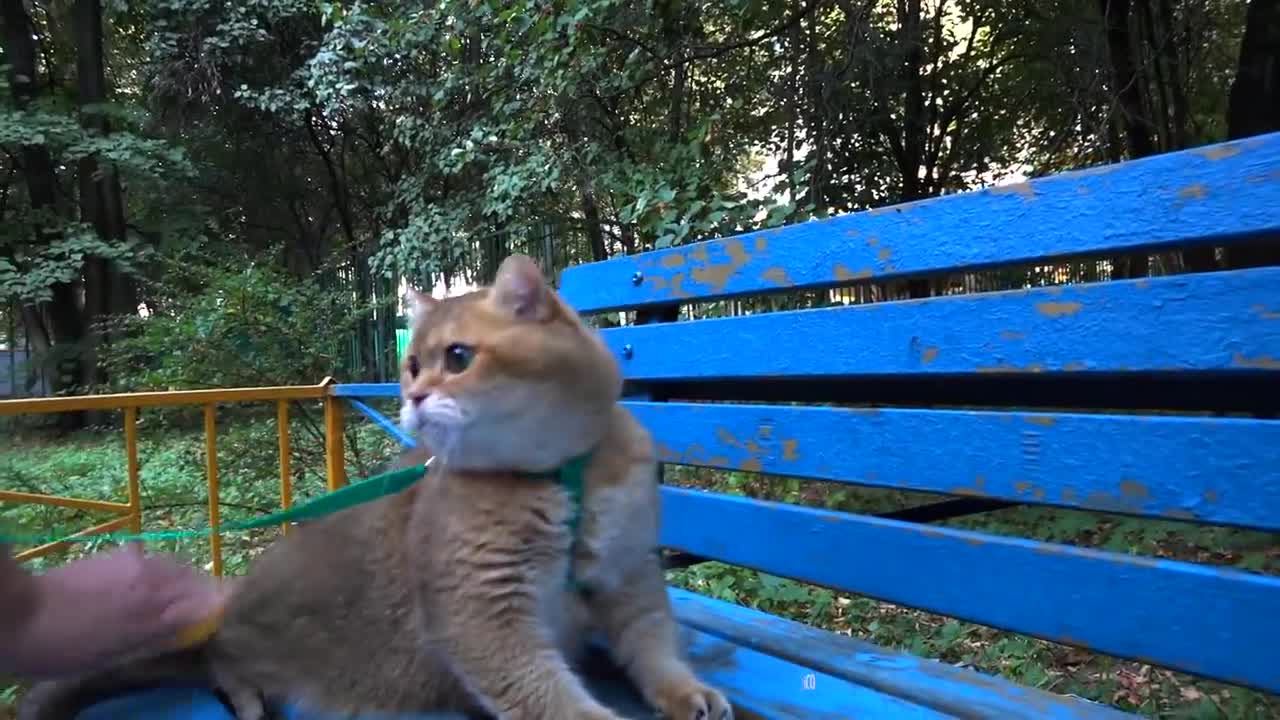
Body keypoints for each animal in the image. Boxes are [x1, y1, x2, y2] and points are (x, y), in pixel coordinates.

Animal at [22, 254, 732, 717]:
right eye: (411, 364)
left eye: (458, 357)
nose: (412, 397)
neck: (562, 473)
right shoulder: (483, 614)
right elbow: (551, 700)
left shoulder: (629, 574)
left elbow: (653, 646)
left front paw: (685, 692)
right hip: (251, 635)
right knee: (224, 663)